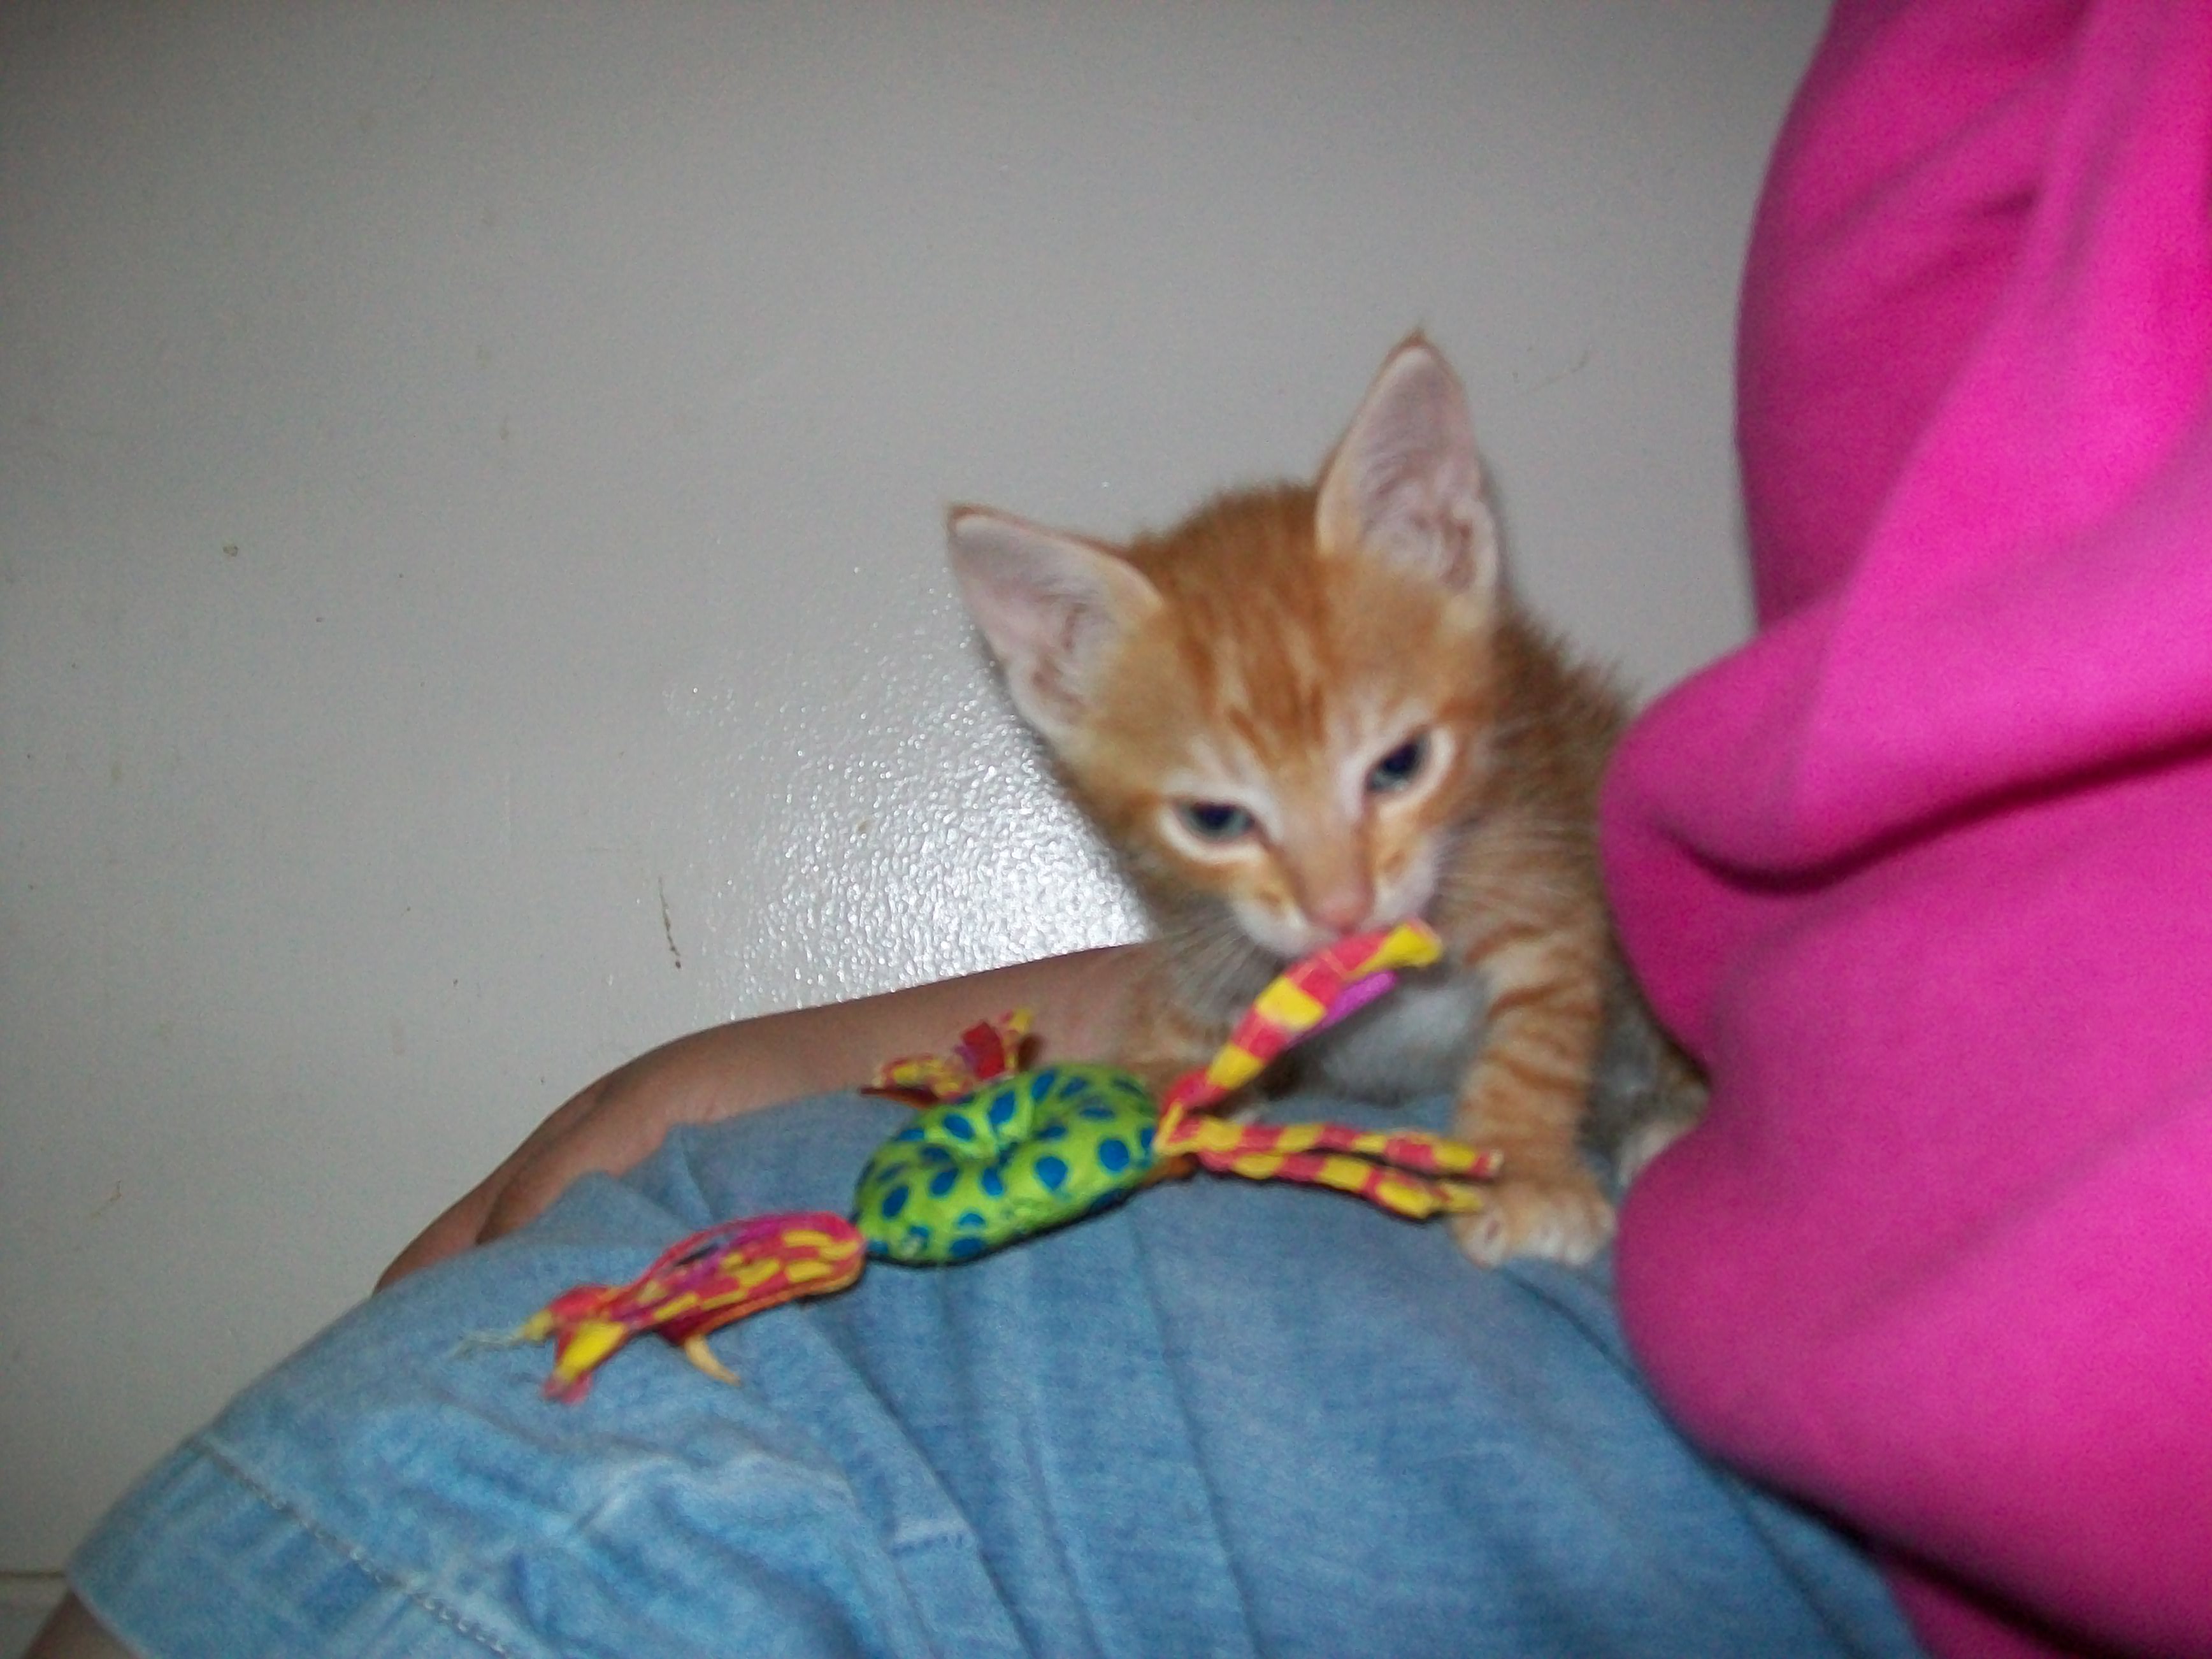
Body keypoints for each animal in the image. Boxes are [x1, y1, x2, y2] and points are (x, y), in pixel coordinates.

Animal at [945, 335, 1701, 1265]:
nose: (1342, 911)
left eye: (1400, 766)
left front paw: (1523, 1169)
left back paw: (1667, 1115)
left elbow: (1540, 1029)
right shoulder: (1209, 940)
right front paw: (1152, 1084)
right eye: (1216, 820)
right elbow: (1184, 1014)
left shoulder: (1540, 860)